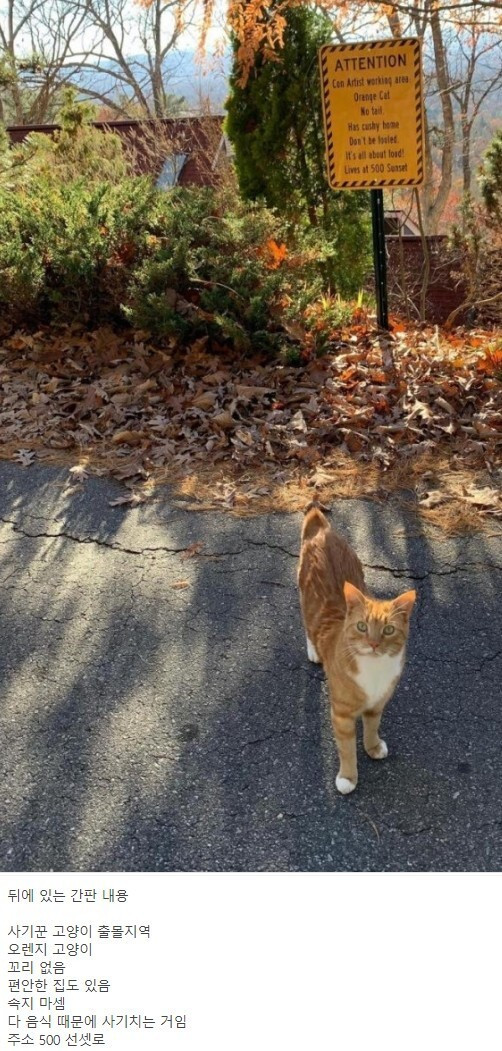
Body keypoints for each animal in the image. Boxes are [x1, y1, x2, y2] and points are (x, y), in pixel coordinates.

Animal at [298, 504, 415, 790]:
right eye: (362, 627)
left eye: (388, 630)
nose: (373, 643)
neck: (374, 669)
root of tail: (324, 532)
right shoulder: (341, 715)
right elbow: (347, 749)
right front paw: (348, 777)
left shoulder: (378, 704)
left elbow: (372, 727)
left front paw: (372, 747)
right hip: (303, 597)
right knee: (307, 624)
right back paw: (313, 650)